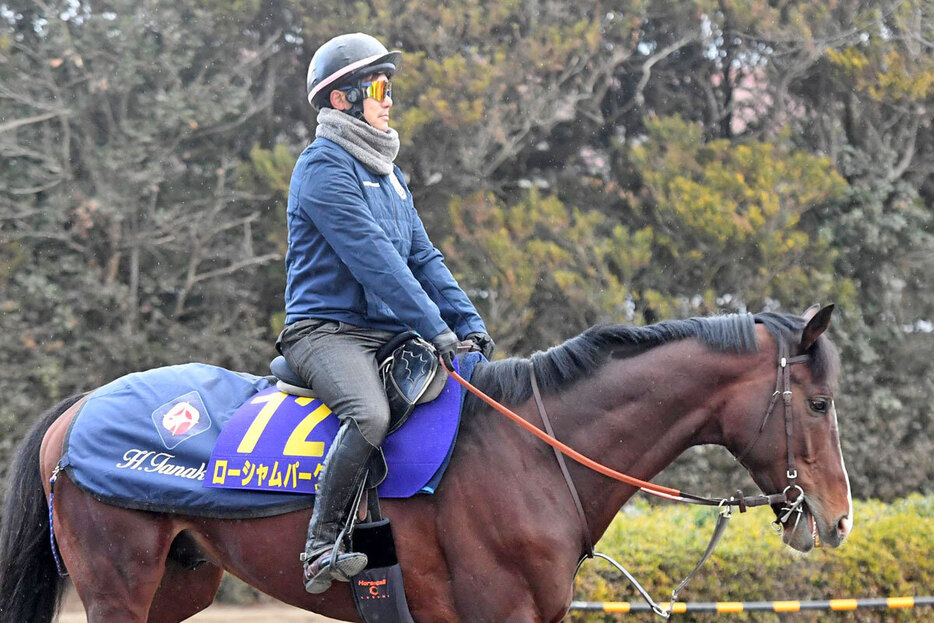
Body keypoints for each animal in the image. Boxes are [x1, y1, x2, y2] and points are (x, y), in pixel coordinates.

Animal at [0, 304, 852, 620]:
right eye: (819, 403)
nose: (839, 518)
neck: (533, 450)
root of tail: (76, 411)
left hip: (180, 584)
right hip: (117, 585)